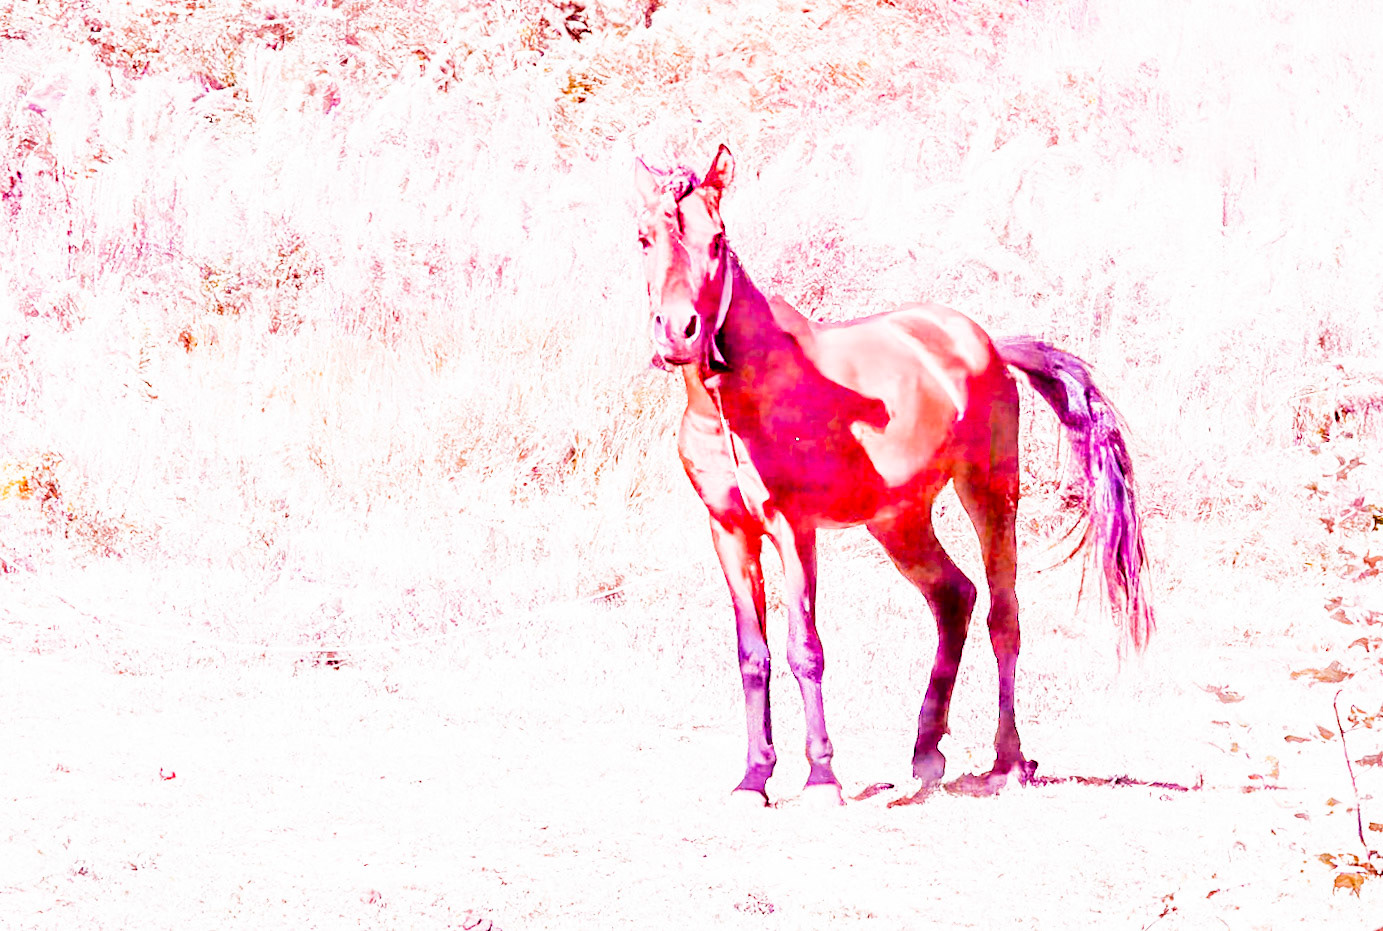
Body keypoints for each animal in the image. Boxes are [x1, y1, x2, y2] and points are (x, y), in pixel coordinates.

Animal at [634, 145, 1153, 807]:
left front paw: (822, 779)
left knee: (1003, 616)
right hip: (898, 521)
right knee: (954, 598)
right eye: (645, 238)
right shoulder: (729, 531)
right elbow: (753, 653)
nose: (678, 333)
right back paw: (926, 753)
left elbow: (805, 649)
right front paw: (753, 779)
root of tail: (986, 342)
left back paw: (1008, 762)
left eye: (718, 239)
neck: (736, 400)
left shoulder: (794, 529)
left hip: (989, 493)